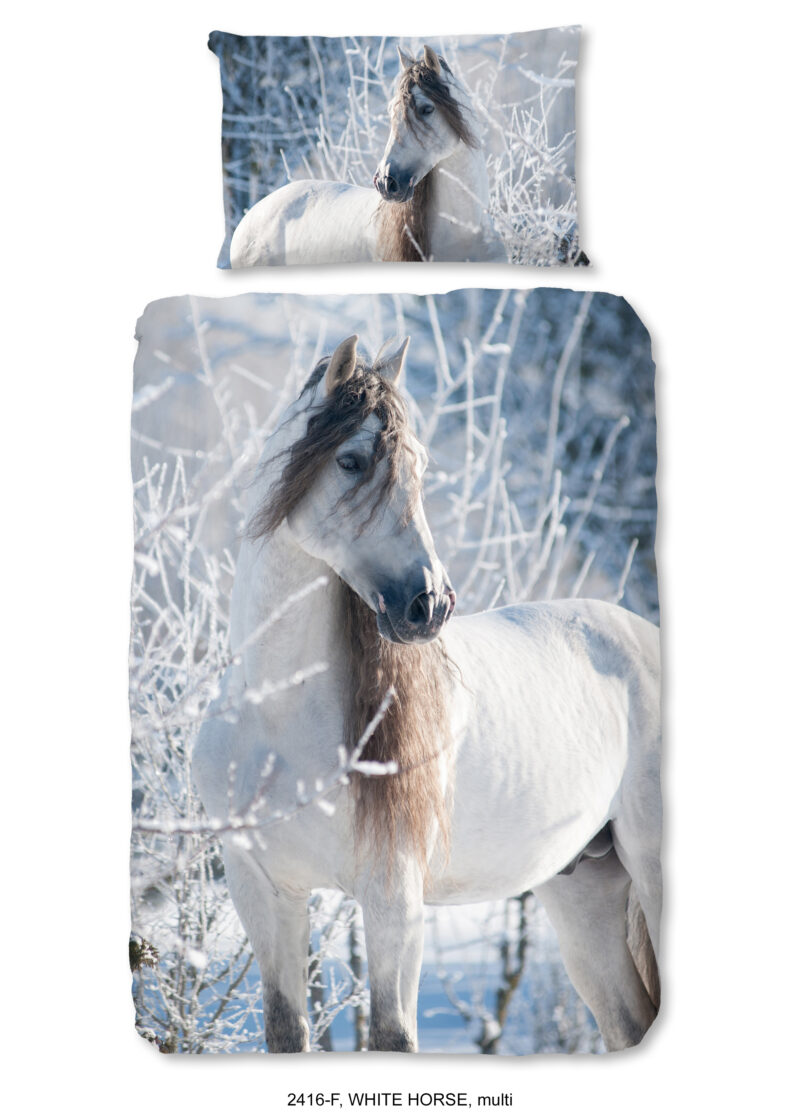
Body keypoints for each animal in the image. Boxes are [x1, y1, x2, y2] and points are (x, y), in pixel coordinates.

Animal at [192, 335, 662, 1053]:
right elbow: (287, 1029)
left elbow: (392, 1034)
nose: (429, 603)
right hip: (583, 888)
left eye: (419, 465)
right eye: (351, 460)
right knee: (630, 1024)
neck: (275, 713)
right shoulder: (264, 893)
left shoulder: (393, 898)